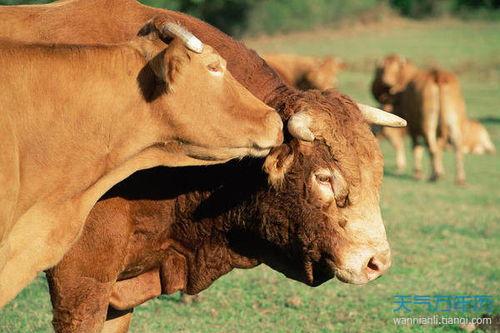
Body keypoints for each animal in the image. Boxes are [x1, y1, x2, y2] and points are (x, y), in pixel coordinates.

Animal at [372, 54, 468, 184]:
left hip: (428, 122)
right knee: (456, 146)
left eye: (381, 69)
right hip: (453, 120)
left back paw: (434, 175)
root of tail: (438, 75)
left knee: (431, 147)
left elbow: (417, 147)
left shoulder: (413, 127)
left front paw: (418, 173)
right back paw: (459, 178)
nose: (386, 80)